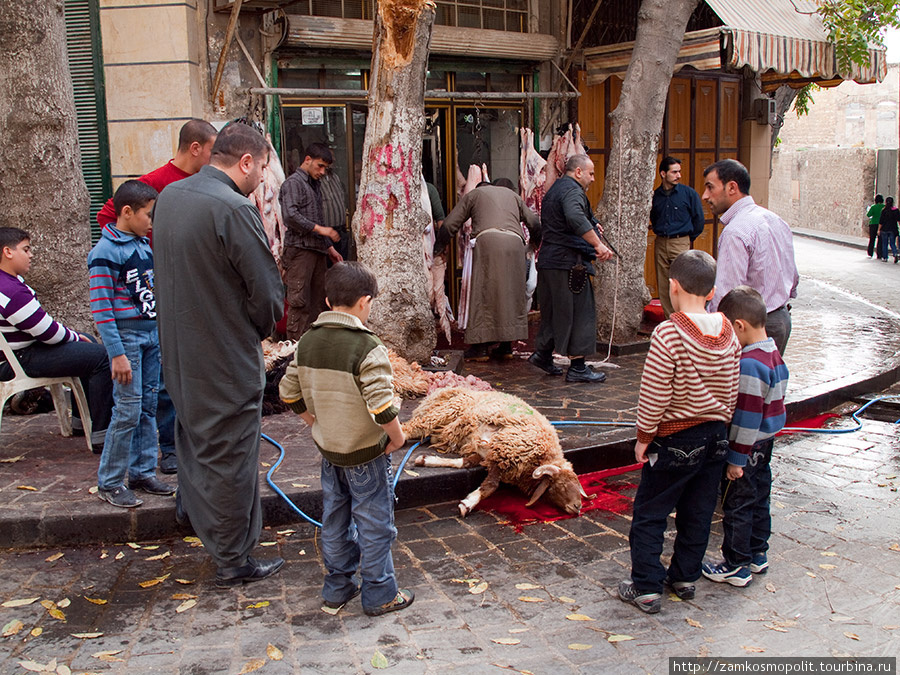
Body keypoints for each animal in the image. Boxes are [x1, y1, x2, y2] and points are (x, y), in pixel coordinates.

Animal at [400, 386, 584, 516]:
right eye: (561, 484)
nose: (578, 507)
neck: (541, 457)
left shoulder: (488, 453)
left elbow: (465, 462)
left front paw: (425, 460)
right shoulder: (504, 449)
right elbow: (491, 486)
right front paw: (467, 504)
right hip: (446, 410)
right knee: (414, 426)